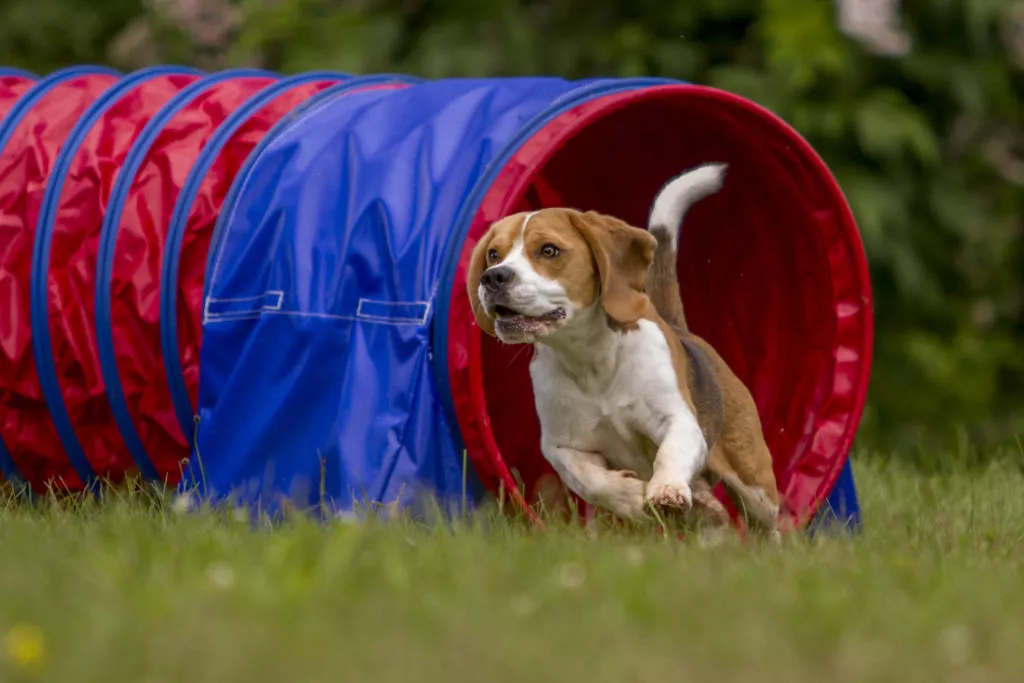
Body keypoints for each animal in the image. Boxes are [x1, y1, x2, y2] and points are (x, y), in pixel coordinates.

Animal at [468, 165, 778, 540]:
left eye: (549, 250)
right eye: (493, 254)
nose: (492, 277)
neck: (590, 360)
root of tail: (680, 329)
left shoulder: (679, 421)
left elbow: (669, 453)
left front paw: (667, 489)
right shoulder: (561, 445)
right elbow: (588, 479)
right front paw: (631, 496)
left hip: (754, 482)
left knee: (769, 522)